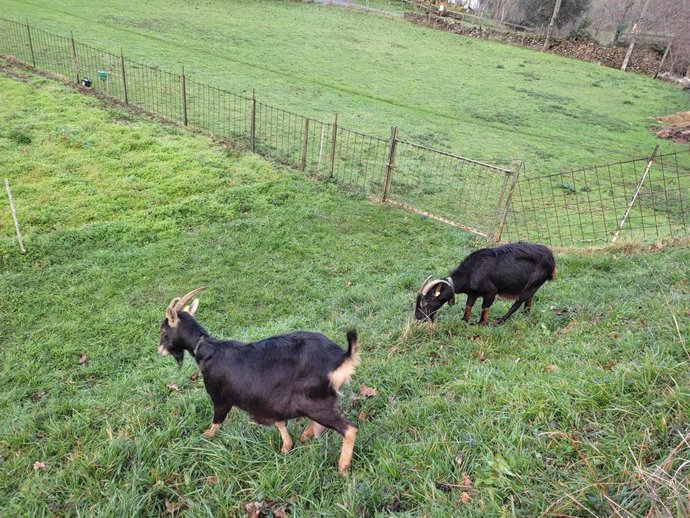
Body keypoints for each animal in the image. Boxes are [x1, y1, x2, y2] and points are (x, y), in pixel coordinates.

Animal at [157, 286, 360, 478]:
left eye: (163, 330)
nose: (160, 350)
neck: (206, 349)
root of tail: (342, 357)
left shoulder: (220, 397)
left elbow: (217, 420)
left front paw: (205, 437)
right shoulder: (270, 400)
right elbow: (279, 422)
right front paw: (286, 447)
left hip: (312, 401)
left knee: (349, 429)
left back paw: (342, 468)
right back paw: (305, 436)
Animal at [414, 243, 552, 324]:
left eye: (426, 301)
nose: (418, 317)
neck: (471, 272)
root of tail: (552, 259)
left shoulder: (491, 292)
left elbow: (484, 307)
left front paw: (481, 323)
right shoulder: (472, 293)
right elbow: (468, 305)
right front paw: (464, 320)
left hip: (532, 284)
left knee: (517, 303)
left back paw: (500, 321)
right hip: (533, 286)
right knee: (529, 299)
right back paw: (526, 314)